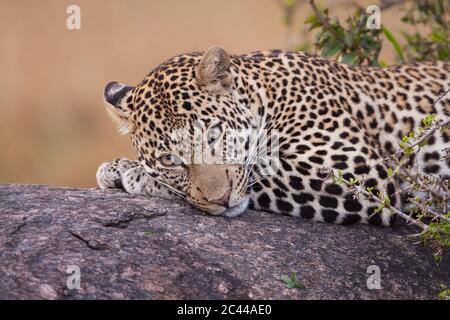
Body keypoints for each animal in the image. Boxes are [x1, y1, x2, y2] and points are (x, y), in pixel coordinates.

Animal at [96, 46, 450, 226]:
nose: (221, 200)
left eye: (213, 134)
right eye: (170, 160)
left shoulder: (360, 173)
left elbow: (259, 171)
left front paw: (131, 172)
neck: (266, 93)